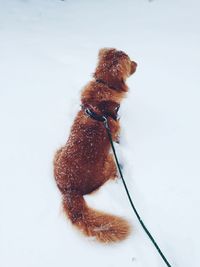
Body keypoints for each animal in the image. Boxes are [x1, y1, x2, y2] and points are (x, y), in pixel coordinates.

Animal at [53, 47, 138, 244]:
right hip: (109, 161)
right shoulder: (116, 129)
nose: (138, 63)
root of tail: (70, 190)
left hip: (58, 151)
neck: (104, 86)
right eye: (130, 61)